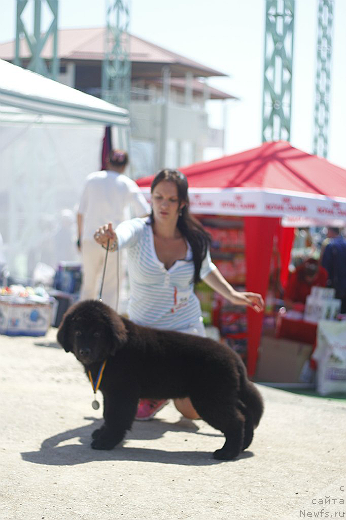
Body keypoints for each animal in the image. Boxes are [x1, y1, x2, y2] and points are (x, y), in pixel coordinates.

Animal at [56, 298, 264, 462]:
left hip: (210, 399)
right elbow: (108, 415)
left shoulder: (122, 393)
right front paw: (102, 433)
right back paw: (243, 446)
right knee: (245, 413)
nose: (84, 351)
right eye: (77, 332)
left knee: (236, 420)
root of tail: (235, 358)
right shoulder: (110, 393)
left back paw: (227, 453)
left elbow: (116, 418)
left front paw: (106, 441)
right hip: (222, 395)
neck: (111, 354)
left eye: (97, 334)